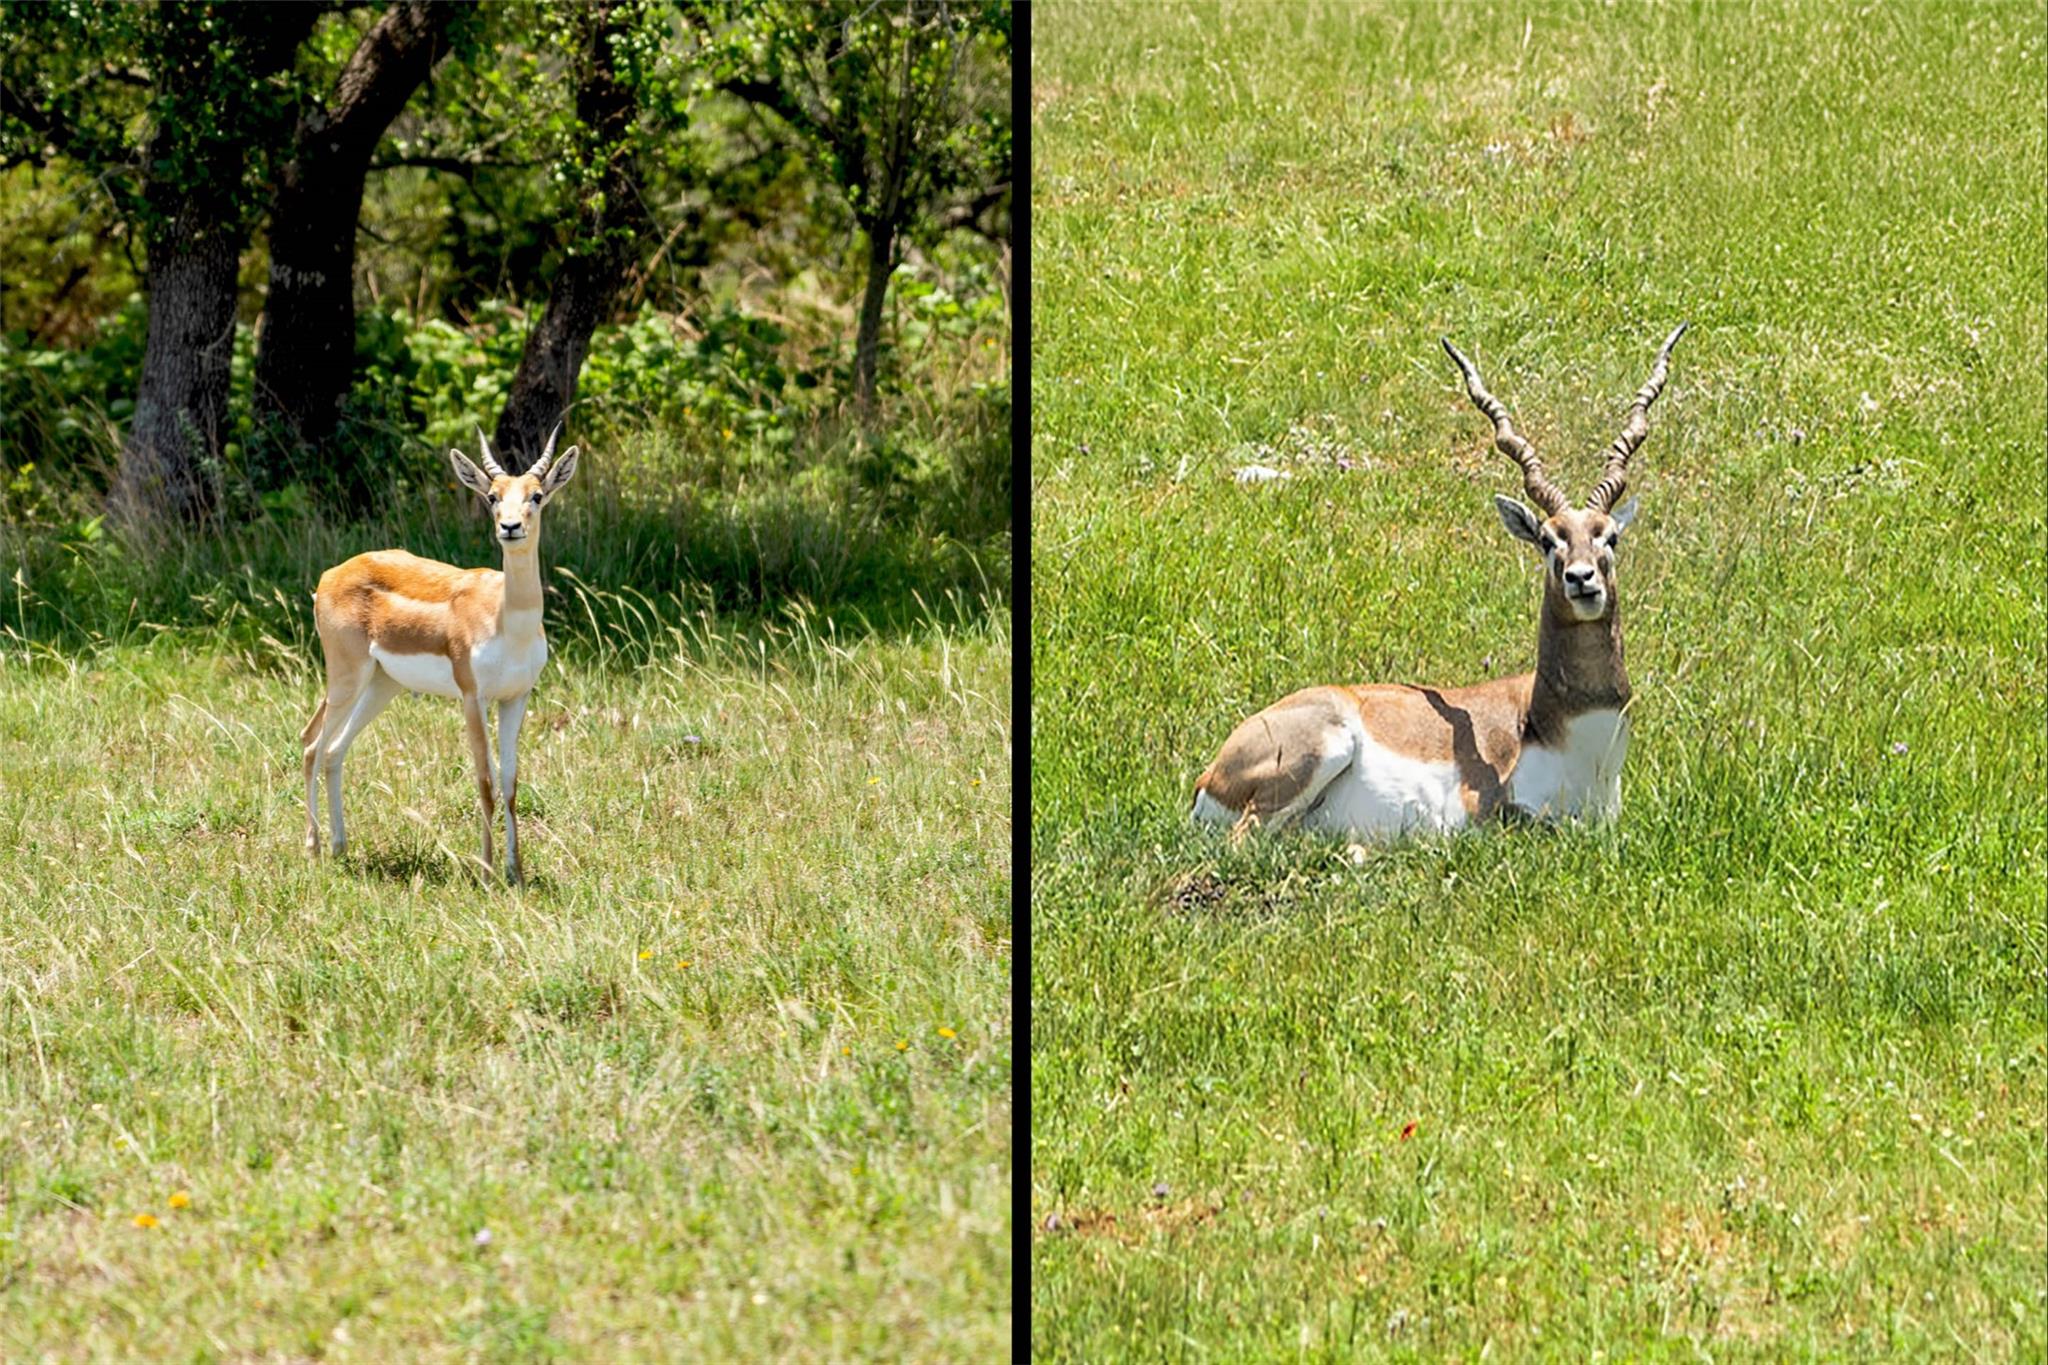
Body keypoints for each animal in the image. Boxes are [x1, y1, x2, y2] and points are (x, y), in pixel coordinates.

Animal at [301, 426, 580, 884]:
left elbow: (510, 783)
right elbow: (484, 781)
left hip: (381, 685)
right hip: (346, 677)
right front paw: (486, 872)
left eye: (537, 495)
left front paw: (516, 872)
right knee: (311, 743)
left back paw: (341, 847)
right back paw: (314, 848)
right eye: (492, 496)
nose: (510, 527)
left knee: (333, 749)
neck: (508, 620)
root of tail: (330, 574)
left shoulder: (516, 698)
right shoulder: (472, 697)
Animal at [1191, 325, 1687, 839]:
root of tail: (1209, 775)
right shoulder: (1492, 811)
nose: (1581, 579)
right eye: (1548, 541)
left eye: (1608, 536)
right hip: (1320, 755)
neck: (1565, 732)